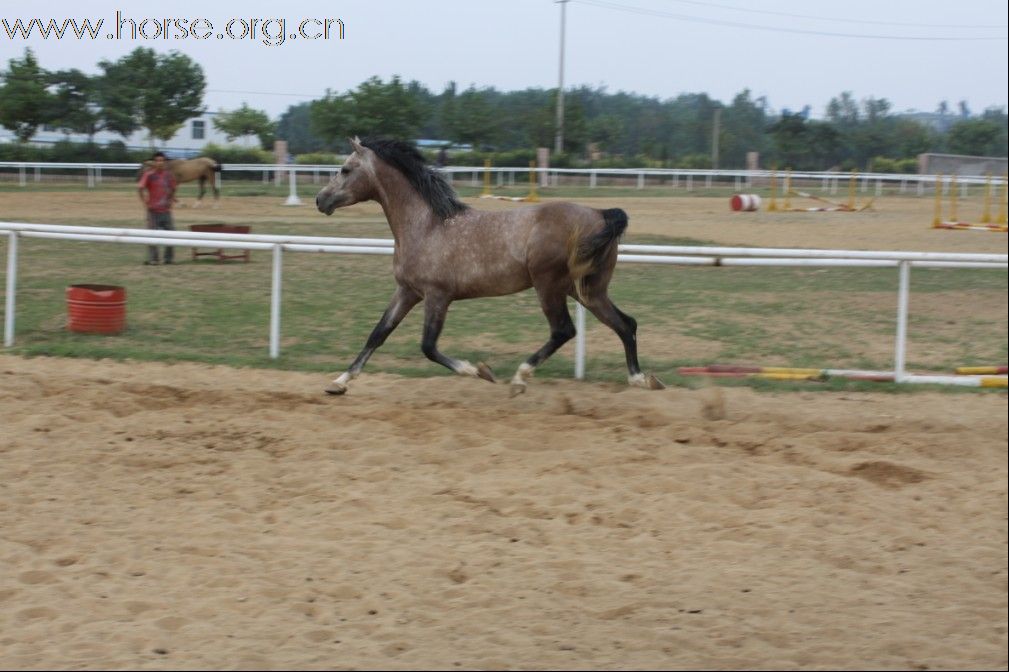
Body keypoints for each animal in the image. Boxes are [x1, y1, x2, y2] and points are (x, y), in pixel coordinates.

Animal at [312, 138, 661, 395]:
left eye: (345, 169)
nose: (320, 200)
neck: (426, 225)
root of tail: (601, 214)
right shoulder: (407, 291)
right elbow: (378, 333)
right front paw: (339, 383)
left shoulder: (437, 296)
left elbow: (428, 346)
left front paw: (480, 371)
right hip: (588, 290)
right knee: (625, 324)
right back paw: (641, 379)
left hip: (549, 286)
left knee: (564, 329)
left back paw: (519, 378)